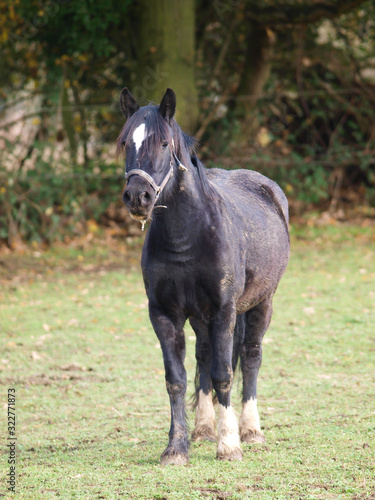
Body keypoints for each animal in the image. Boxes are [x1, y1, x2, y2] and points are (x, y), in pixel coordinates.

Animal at [117, 87, 290, 464]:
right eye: (124, 142)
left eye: (164, 143)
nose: (138, 196)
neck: (187, 236)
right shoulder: (164, 313)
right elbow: (177, 378)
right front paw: (176, 448)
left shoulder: (224, 310)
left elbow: (225, 374)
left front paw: (230, 445)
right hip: (199, 317)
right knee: (205, 356)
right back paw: (204, 428)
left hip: (262, 303)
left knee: (250, 357)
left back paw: (251, 430)